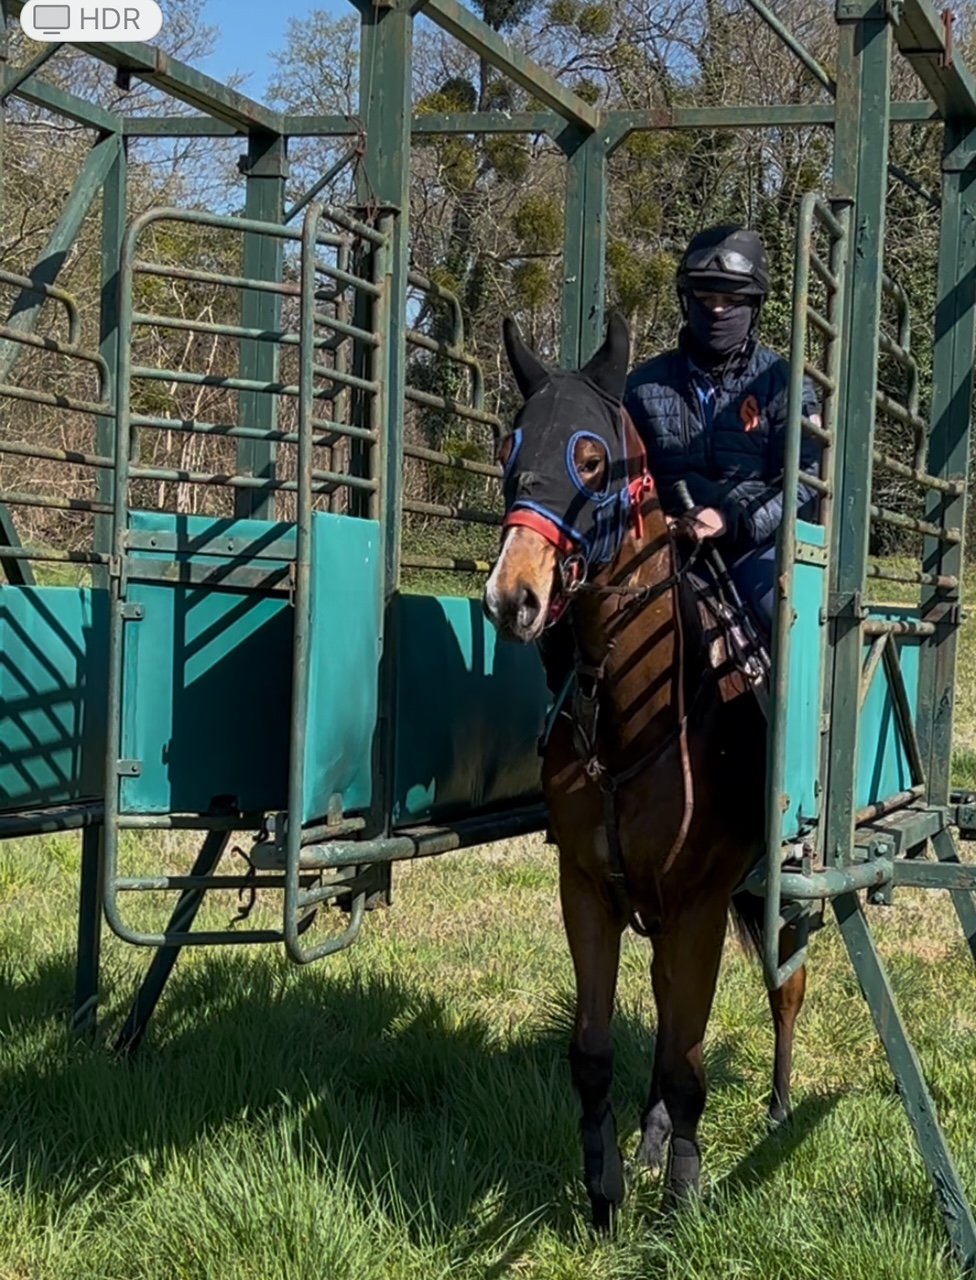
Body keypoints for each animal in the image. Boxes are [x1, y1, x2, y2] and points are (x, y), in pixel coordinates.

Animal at [482, 310, 807, 1227]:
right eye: (511, 449)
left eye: (593, 461)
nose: (513, 595)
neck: (637, 718)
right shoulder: (589, 891)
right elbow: (596, 1052)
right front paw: (606, 1188)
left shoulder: (701, 903)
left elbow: (687, 1062)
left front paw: (684, 1199)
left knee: (786, 988)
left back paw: (776, 1107)